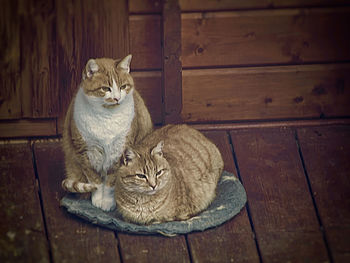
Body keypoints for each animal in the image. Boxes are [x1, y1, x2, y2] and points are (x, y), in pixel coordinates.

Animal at [62, 54, 152, 212]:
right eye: (105, 88)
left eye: (123, 87)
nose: (117, 98)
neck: (107, 117)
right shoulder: (86, 153)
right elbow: (95, 182)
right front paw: (98, 200)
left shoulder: (120, 152)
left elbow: (111, 182)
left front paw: (108, 202)